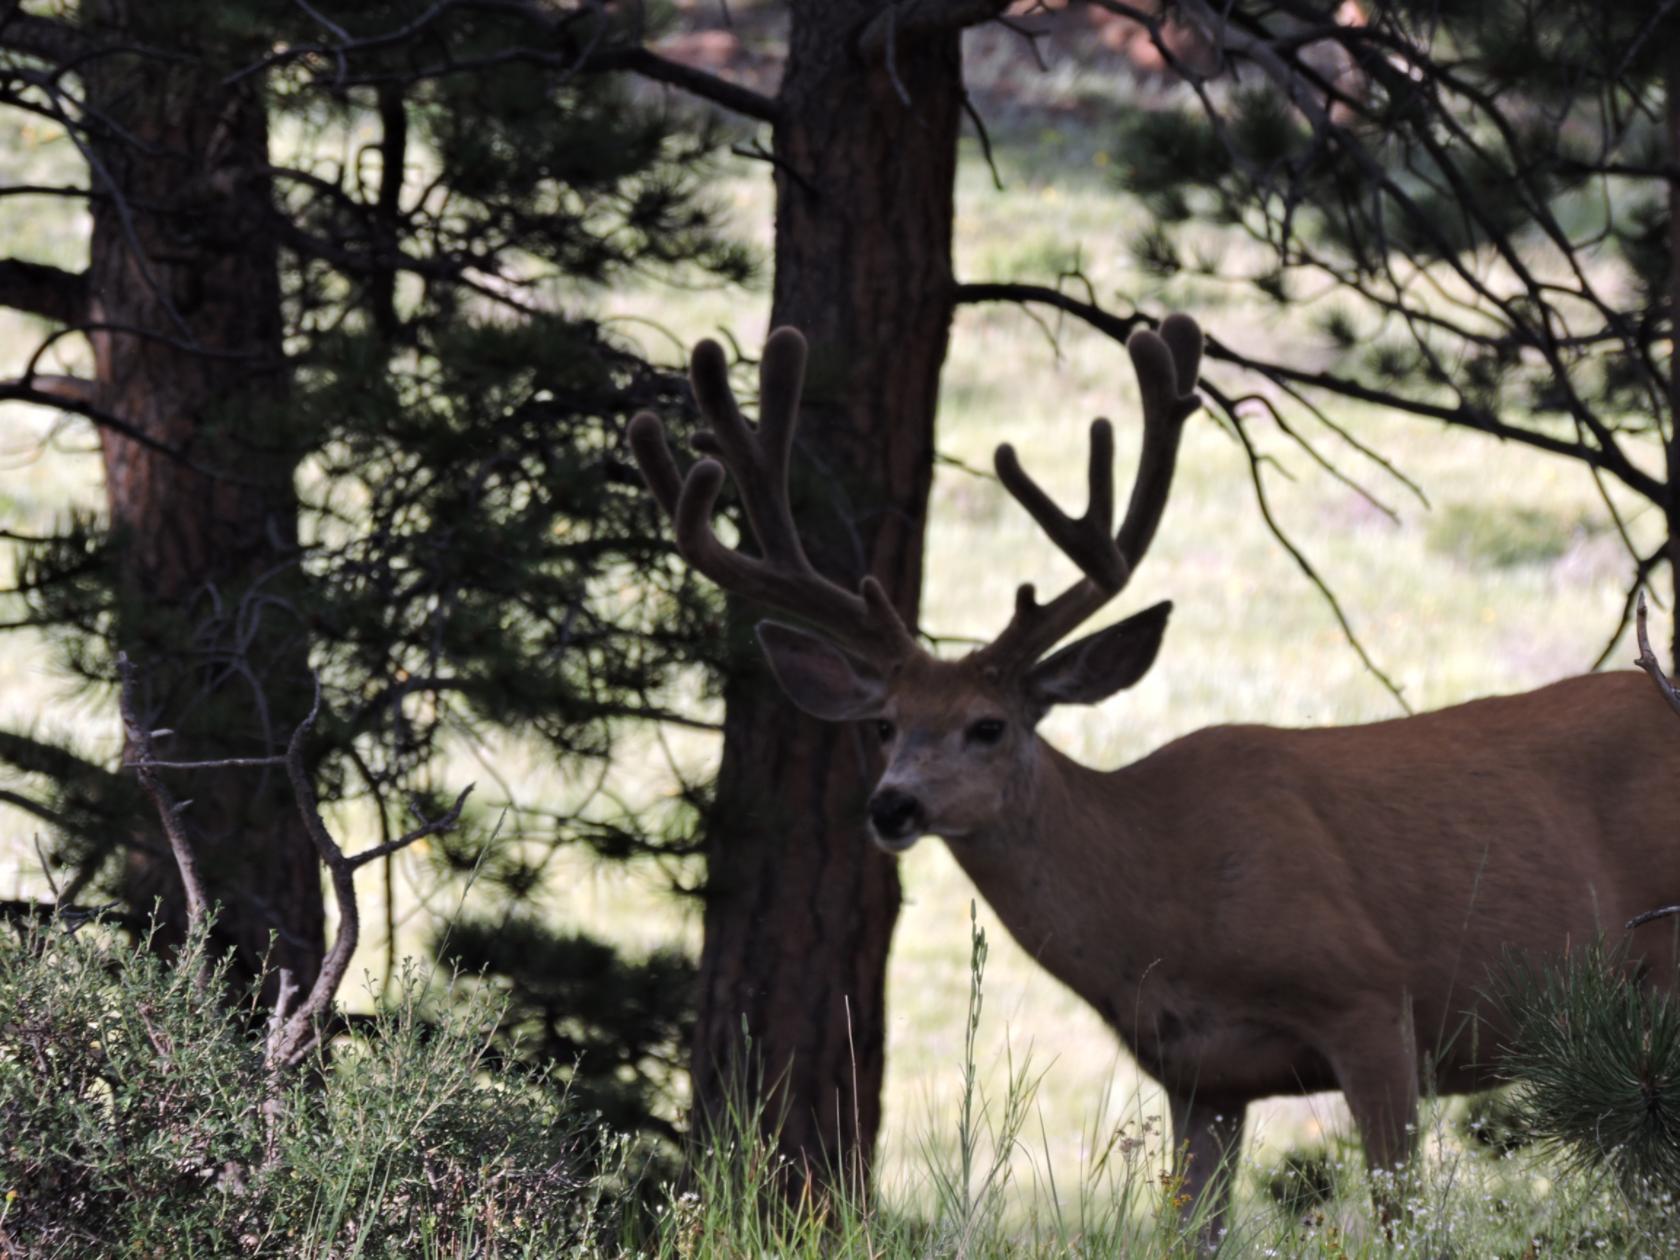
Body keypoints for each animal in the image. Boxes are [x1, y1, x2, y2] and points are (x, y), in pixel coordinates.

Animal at [626, 315, 1680, 1241]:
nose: (893, 804)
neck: (1166, 897)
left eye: (988, 726)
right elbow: (1192, 1230)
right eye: (885, 724)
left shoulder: (1373, 999)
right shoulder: (1201, 1076)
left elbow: (1401, 1219)